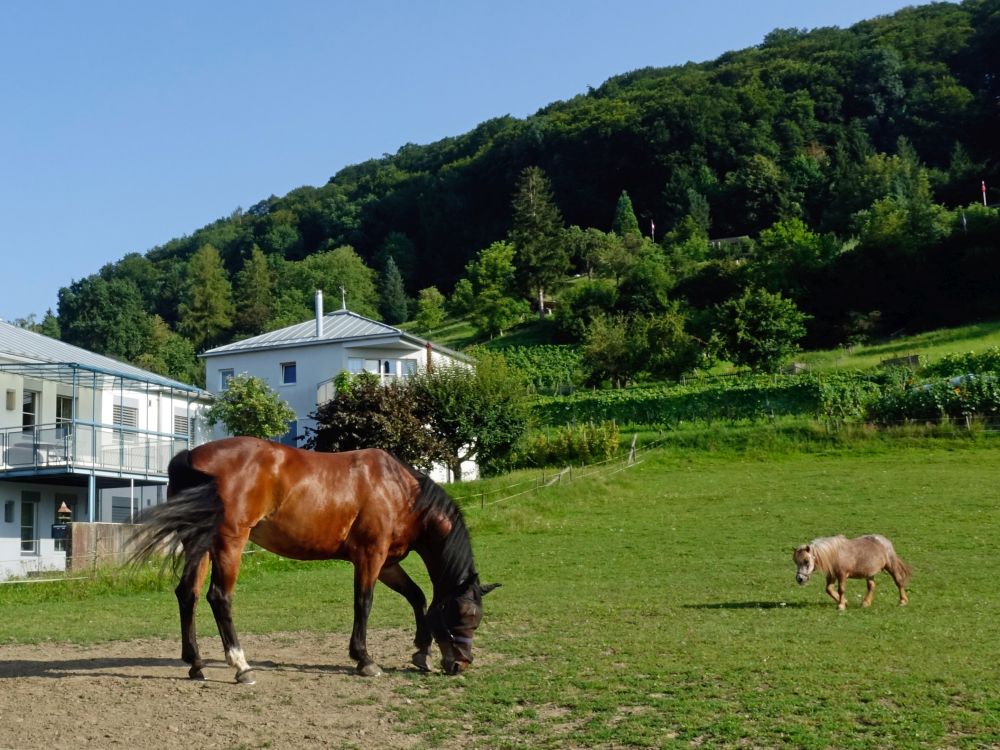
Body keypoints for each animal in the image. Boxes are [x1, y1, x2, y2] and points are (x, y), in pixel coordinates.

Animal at [129, 438, 496, 684]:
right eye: (464, 615)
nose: (461, 664)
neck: (400, 492)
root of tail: (192, 455)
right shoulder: (370, 556)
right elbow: (364, 603)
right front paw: (364, 659)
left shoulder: (388, 562)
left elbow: (417, 597)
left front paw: (421, 651)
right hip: (229, 542)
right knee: (219, 597)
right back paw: (241, 665)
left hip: (200, 543)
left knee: (187, 594)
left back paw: (196, 663)